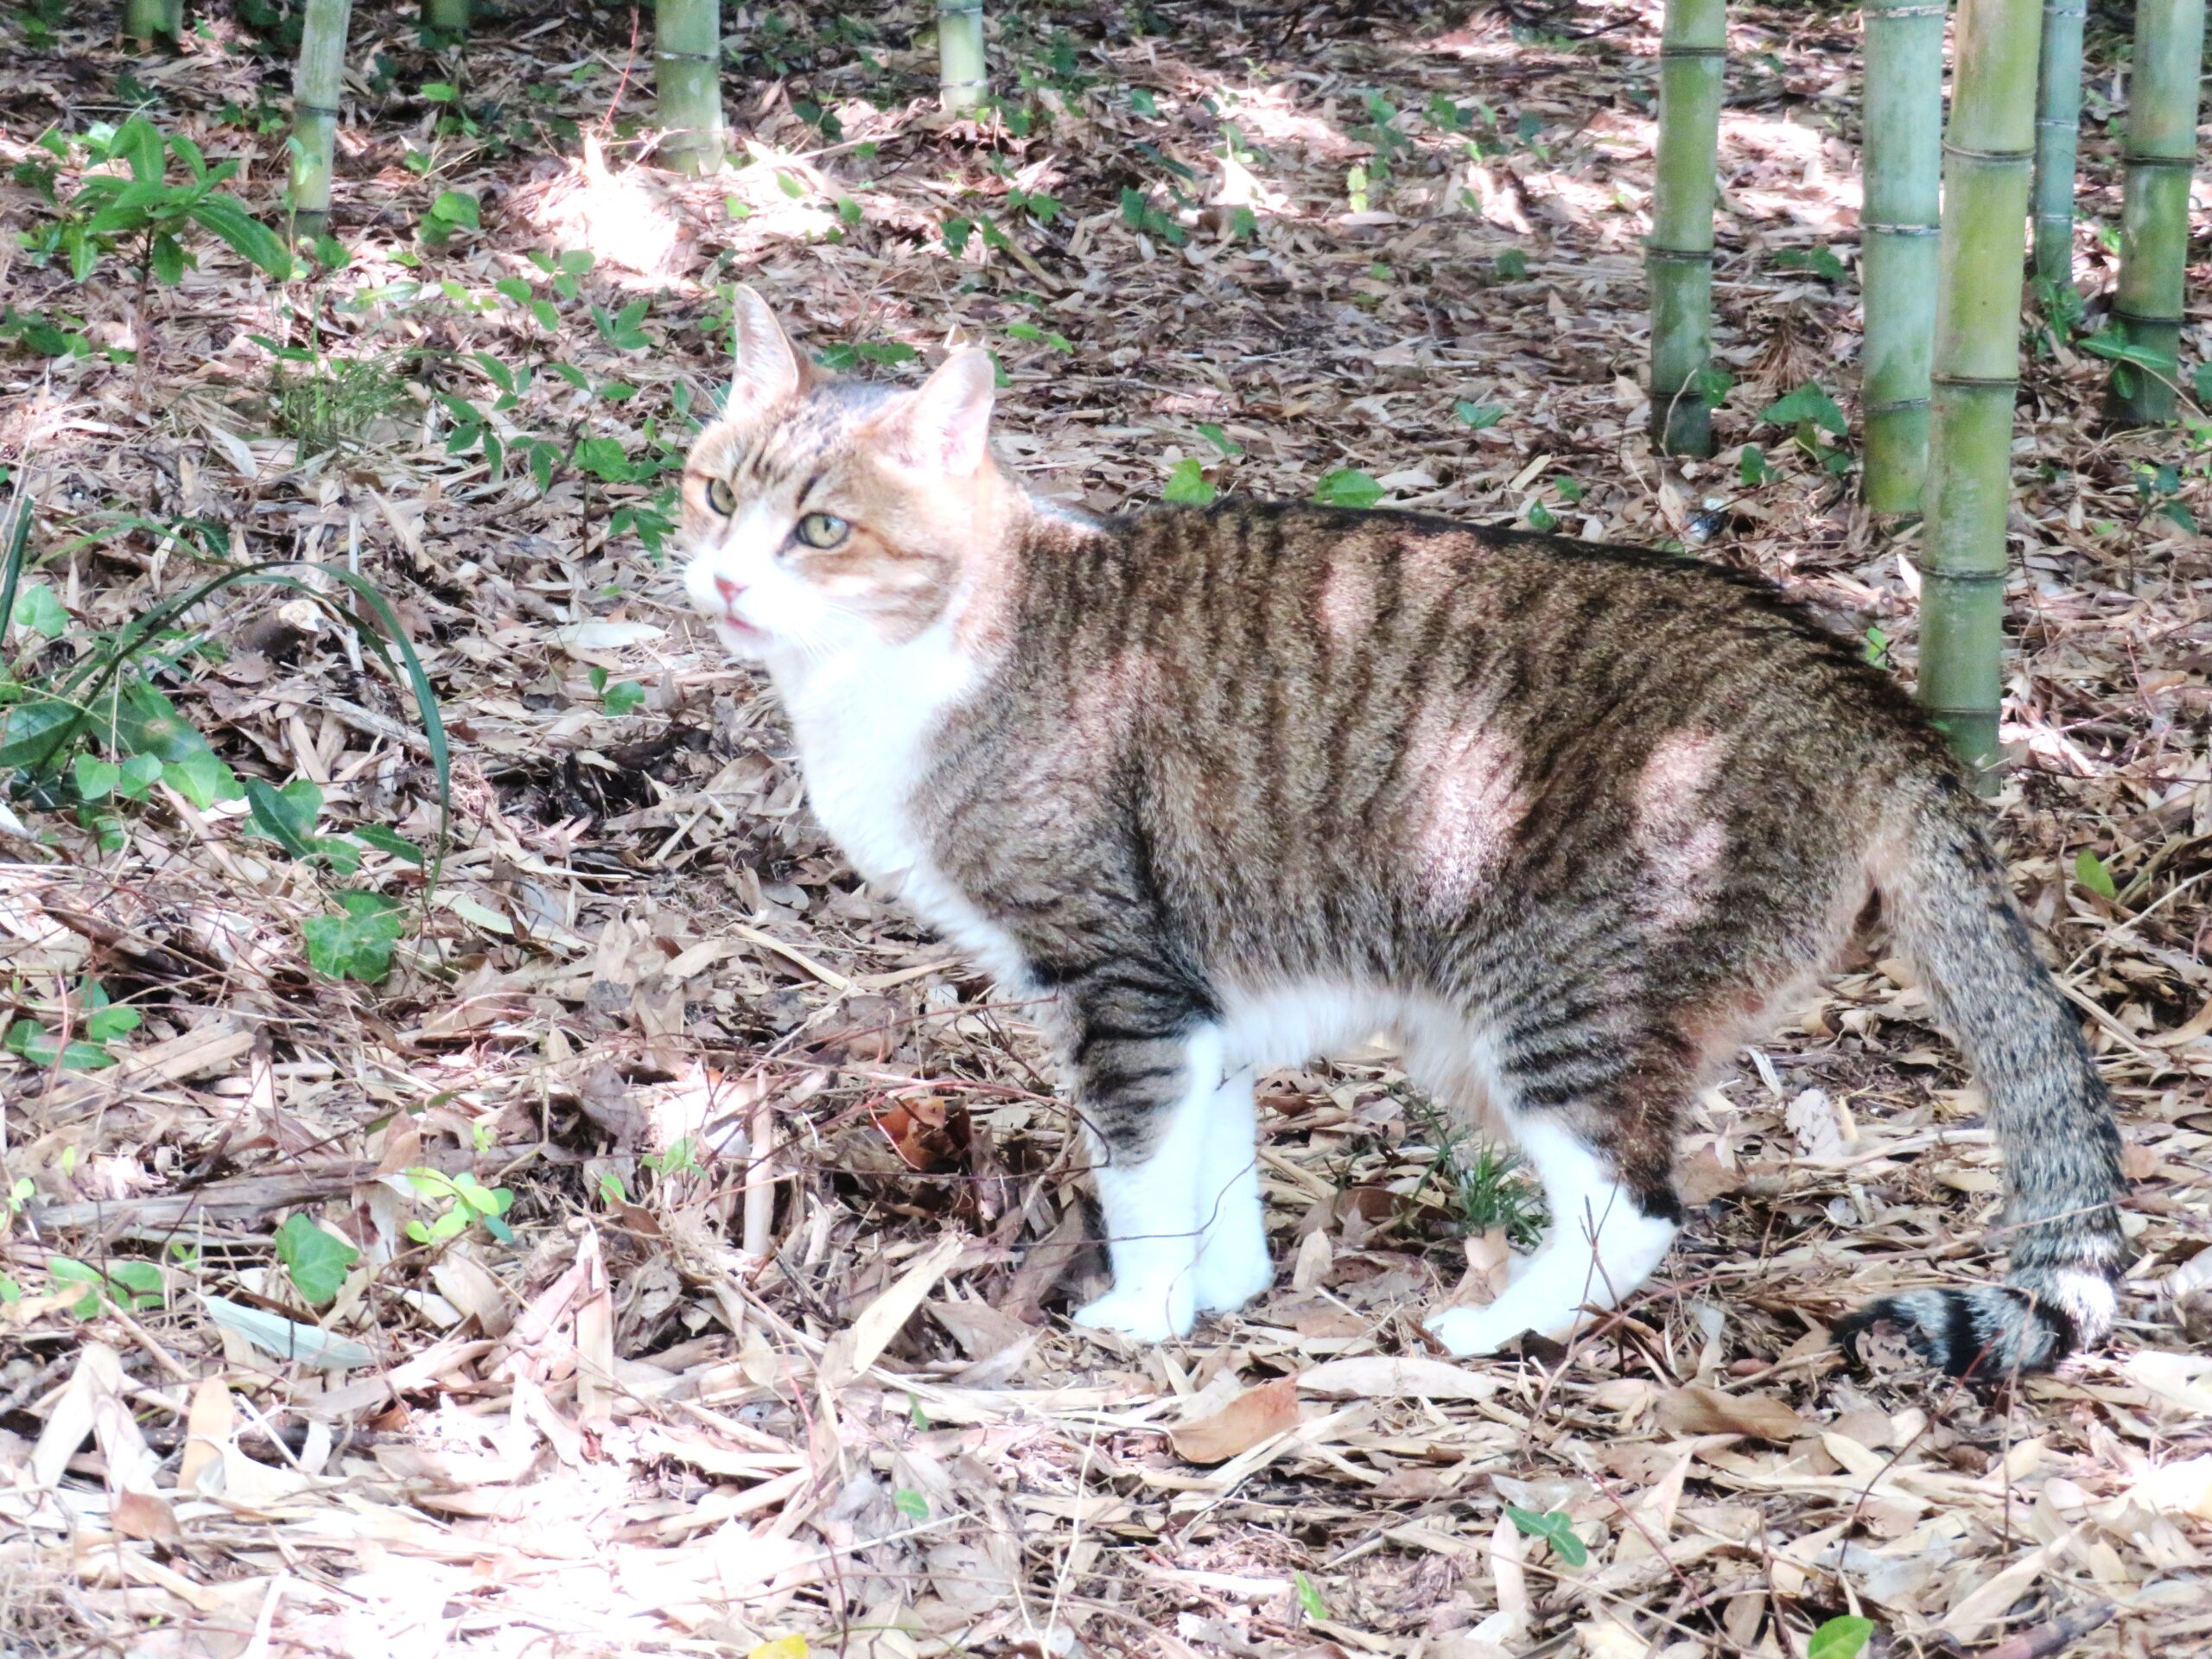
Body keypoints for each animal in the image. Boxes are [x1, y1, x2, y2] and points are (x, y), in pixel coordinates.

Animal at [677, 291, 2123, 1380]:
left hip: (1554, 993)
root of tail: (1864, 696)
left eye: (821, 528)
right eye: (713, 492)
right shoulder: (1200, 989)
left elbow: (1139, 1168)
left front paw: (1143, 1314)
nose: (726, 579)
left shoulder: (1118, 980)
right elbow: (1213, 1164)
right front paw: (1227, 1290)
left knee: (1636, 1204)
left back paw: (1496, 1326)